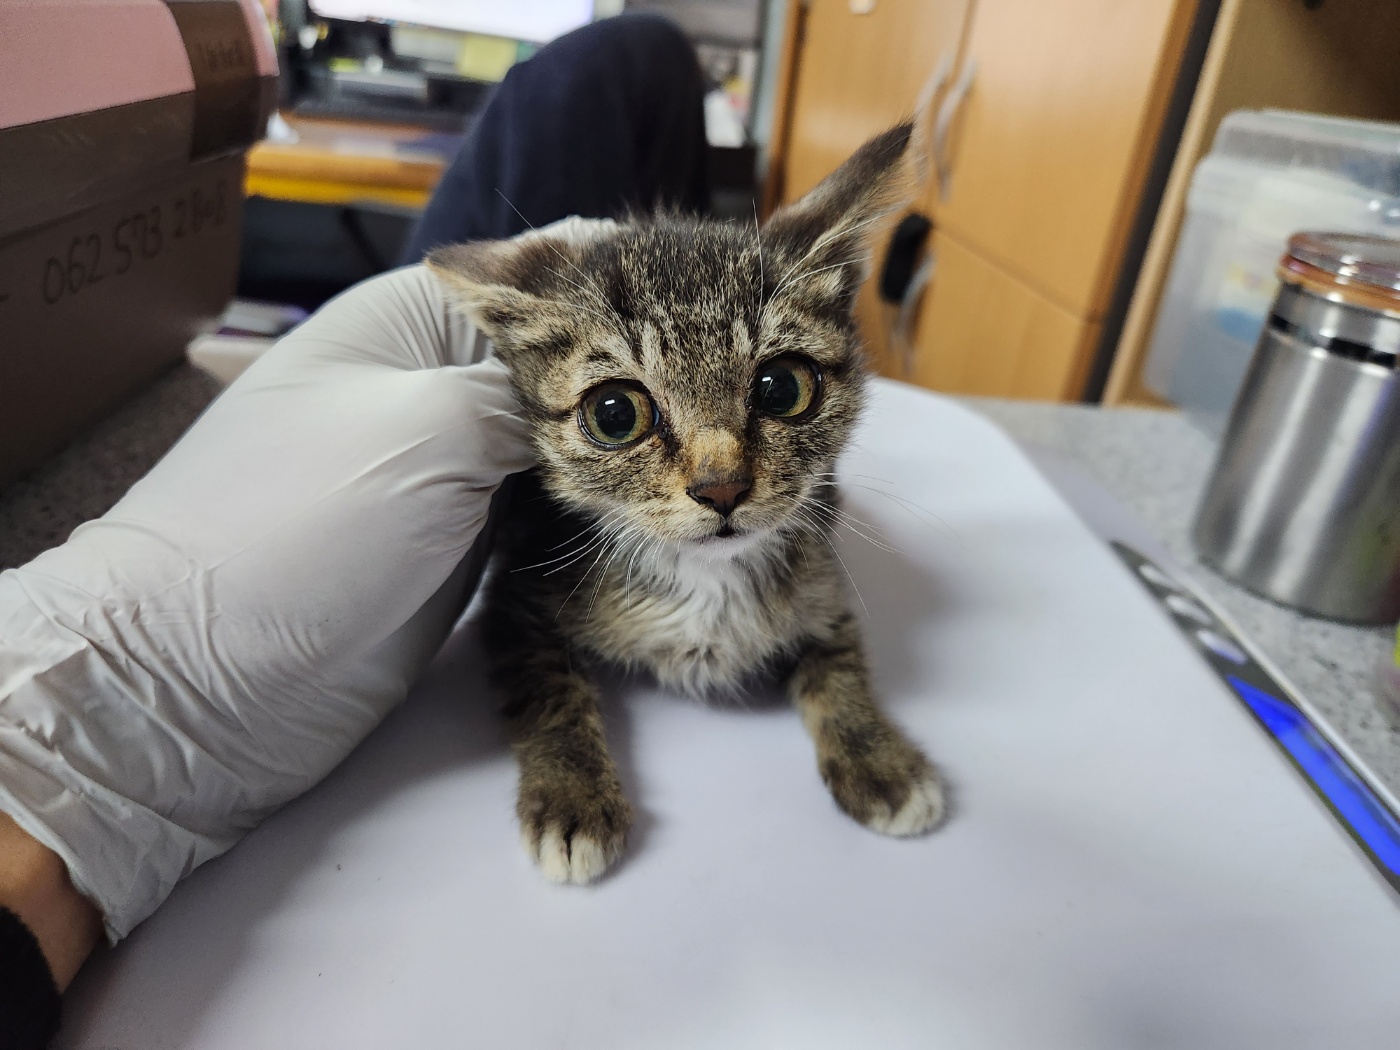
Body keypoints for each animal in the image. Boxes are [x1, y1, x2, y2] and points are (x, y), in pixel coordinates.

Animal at [428, 125, 940, 890]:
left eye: (783, 387)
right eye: (615, 414)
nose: (721, 487)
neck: (704, 581)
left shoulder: (822, 574)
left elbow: (840, 661)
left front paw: (879, 758)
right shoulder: (517, 595)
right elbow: (548, 688)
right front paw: (572, 796)